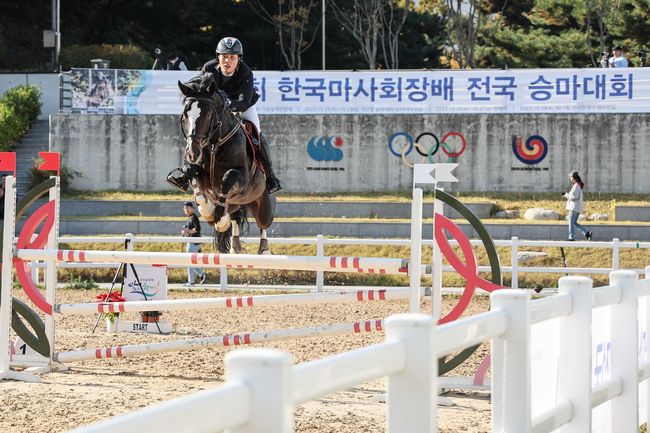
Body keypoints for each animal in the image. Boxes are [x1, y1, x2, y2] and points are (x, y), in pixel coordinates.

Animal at [176, 73, 272, 253]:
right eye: (185, 115)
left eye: (208, 114)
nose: (192, 153)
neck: (215, 142)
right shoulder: (199, 173)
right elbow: (192, 174)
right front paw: (207, 210)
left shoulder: (242, 177)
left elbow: (228, 177)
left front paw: (220, 221)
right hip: (237, 204)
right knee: (235, 217)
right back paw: (235, 246)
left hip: (261, 202)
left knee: (263, 223)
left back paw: (264, 249)